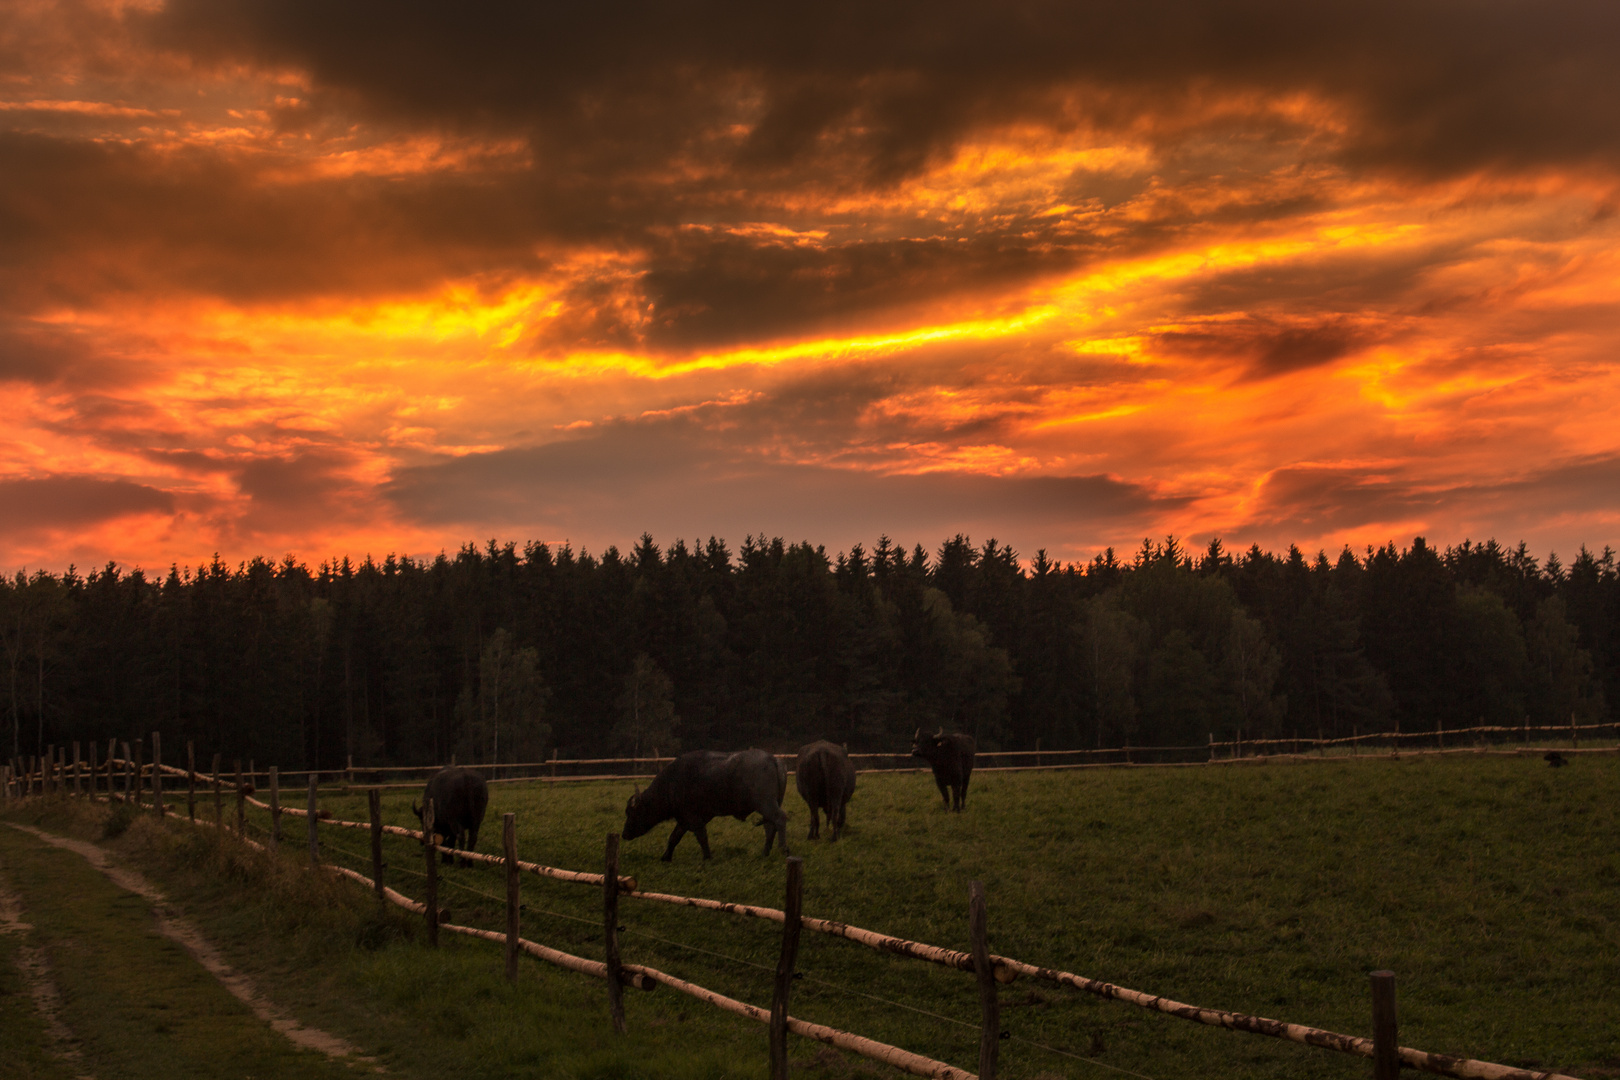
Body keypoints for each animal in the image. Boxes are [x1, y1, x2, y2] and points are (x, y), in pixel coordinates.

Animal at [618, 751, 790, 861]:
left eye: (632, 812)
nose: (624, 834)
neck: (671, 784)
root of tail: (773, 759)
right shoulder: (685, 819)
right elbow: (674, 837)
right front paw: (665, 857)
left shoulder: (692, 817)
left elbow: (701, 836)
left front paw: (707, 857)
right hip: (768, 806)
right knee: (770, 826)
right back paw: (765, 852)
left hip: (765, 803)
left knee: (780, 819)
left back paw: (783, 850)